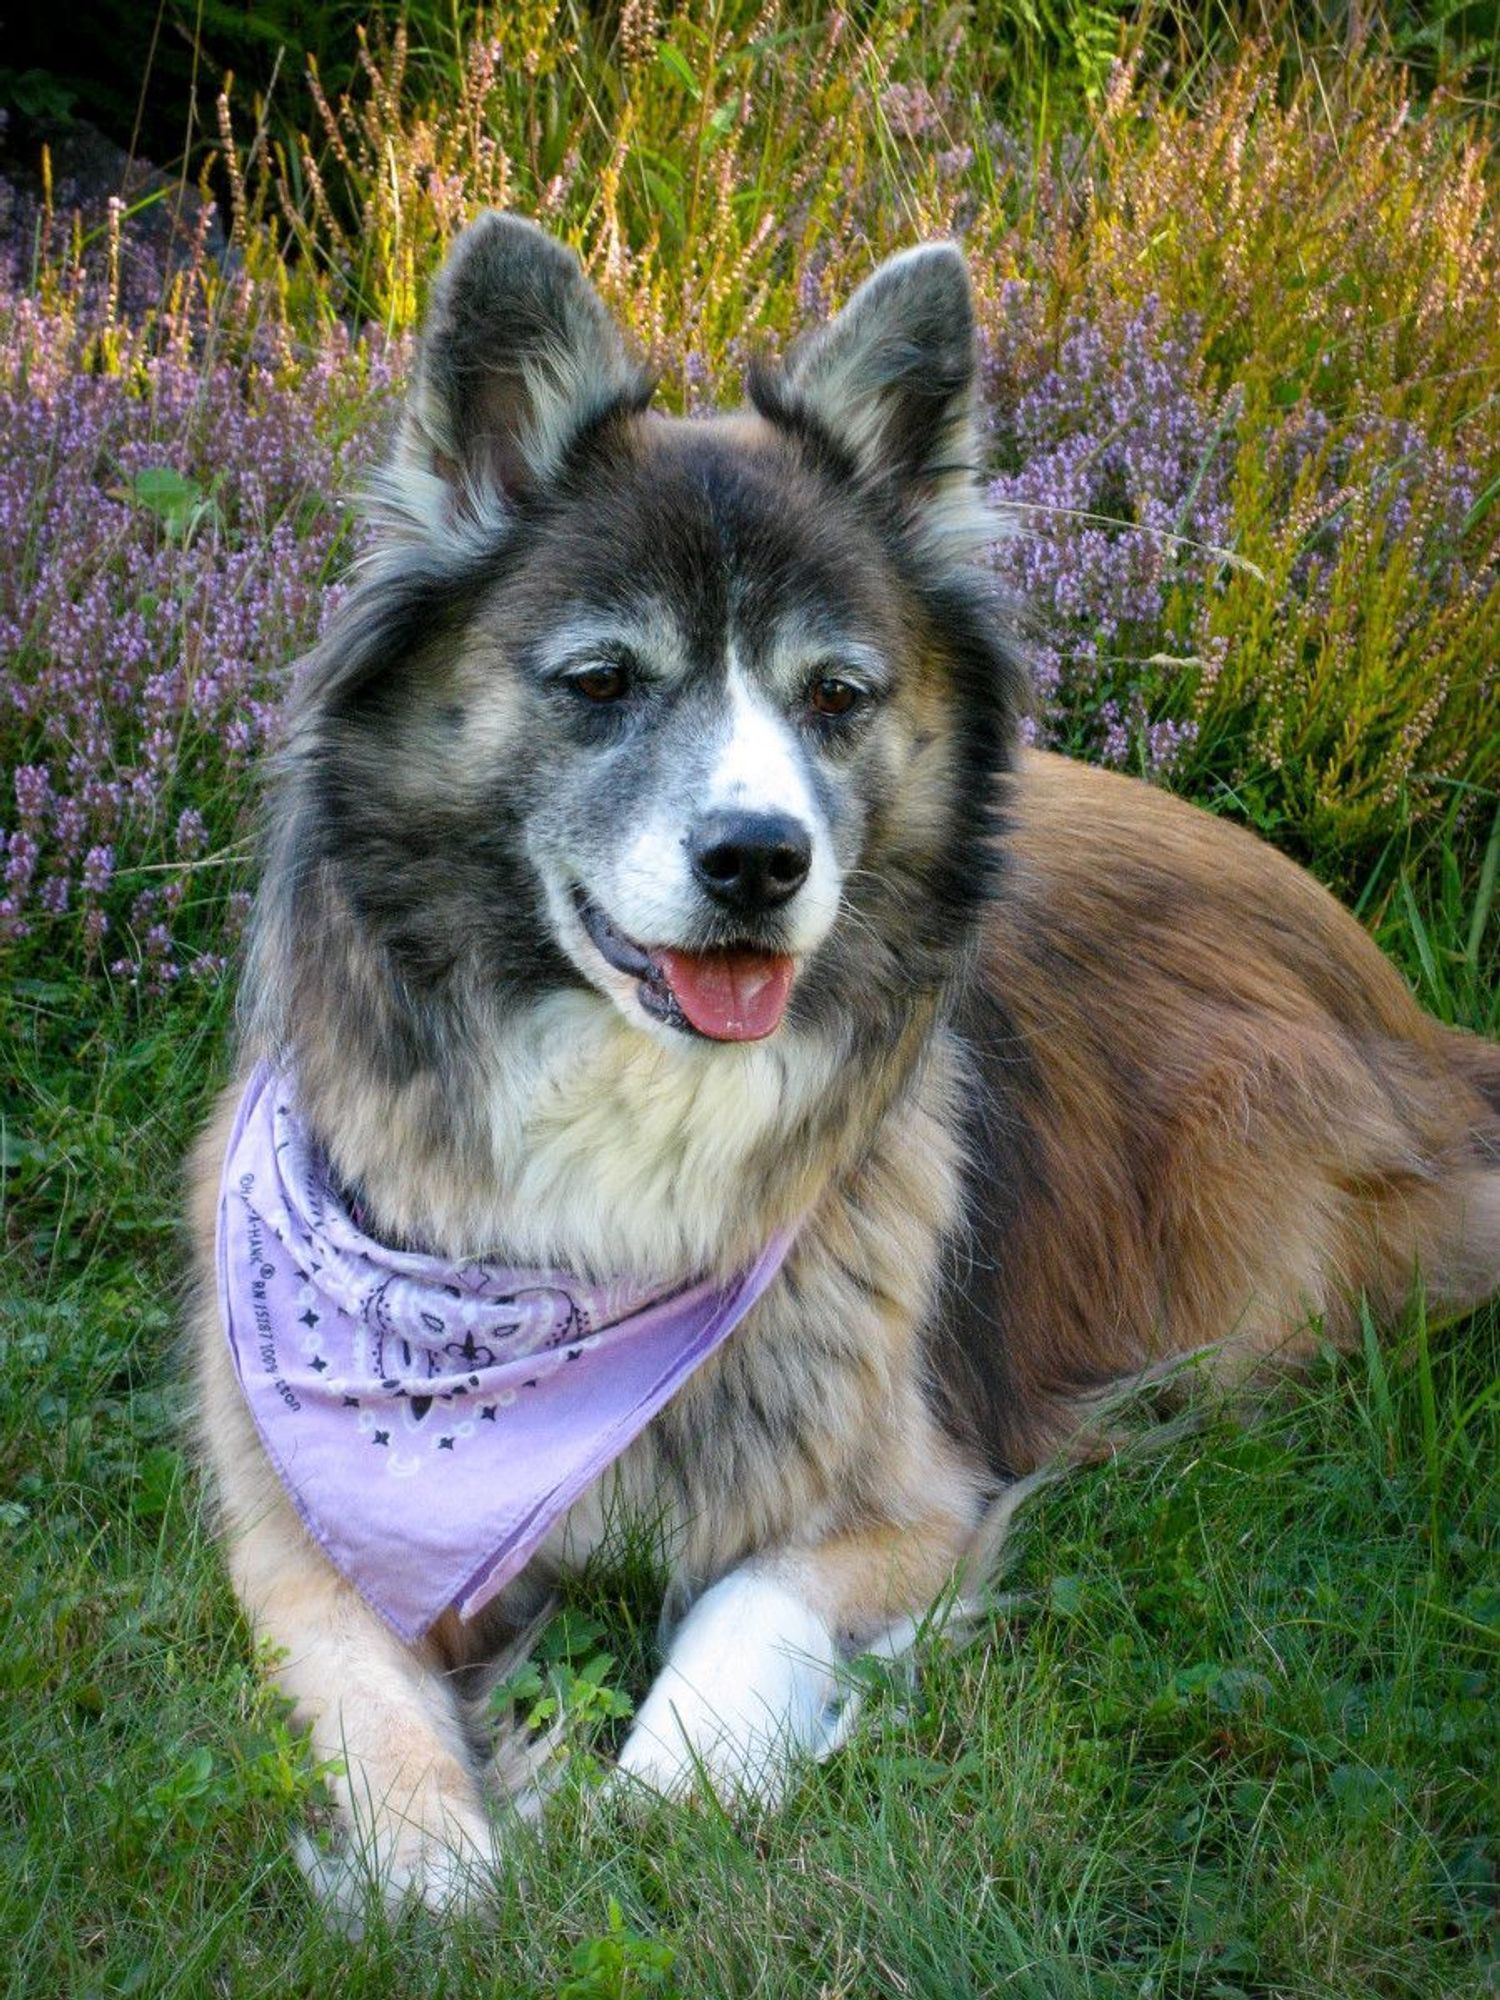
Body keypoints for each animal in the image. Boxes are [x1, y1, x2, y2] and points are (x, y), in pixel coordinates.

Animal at [188, 211, 1500, 1912]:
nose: (759, 860)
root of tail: (1418, 1031)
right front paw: (436, 1875)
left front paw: (634, 1810)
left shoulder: (906, 1498)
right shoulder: (304, 1533)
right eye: (602, 682)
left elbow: (736, 1635)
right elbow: (369, 1707)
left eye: (836, 696)